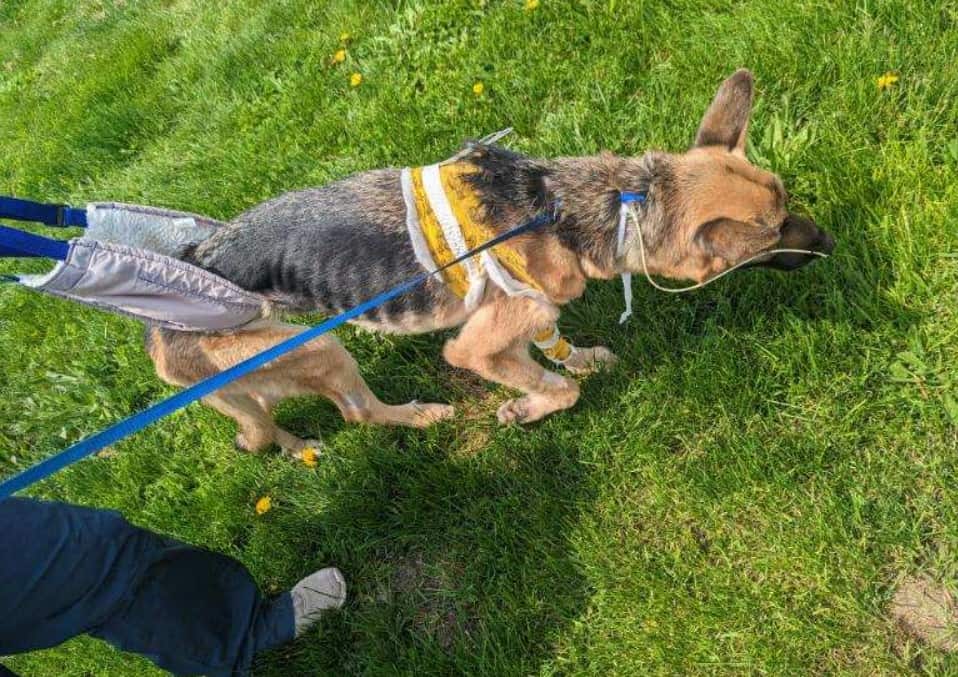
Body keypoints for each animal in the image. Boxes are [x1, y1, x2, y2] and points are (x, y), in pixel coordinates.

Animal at [146, 68, 836, 456]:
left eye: (788, 205)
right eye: (775, 233)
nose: (830, 244)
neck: (586, 208)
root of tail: (155, 333)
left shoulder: (528, 312)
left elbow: (551, 348)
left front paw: (578, 362)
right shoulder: (473, 346)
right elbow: (556, 388)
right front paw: (528, 408)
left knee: (267, 427)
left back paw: (295, 448)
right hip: (321, 348)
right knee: (359, 411)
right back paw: (419, 415)